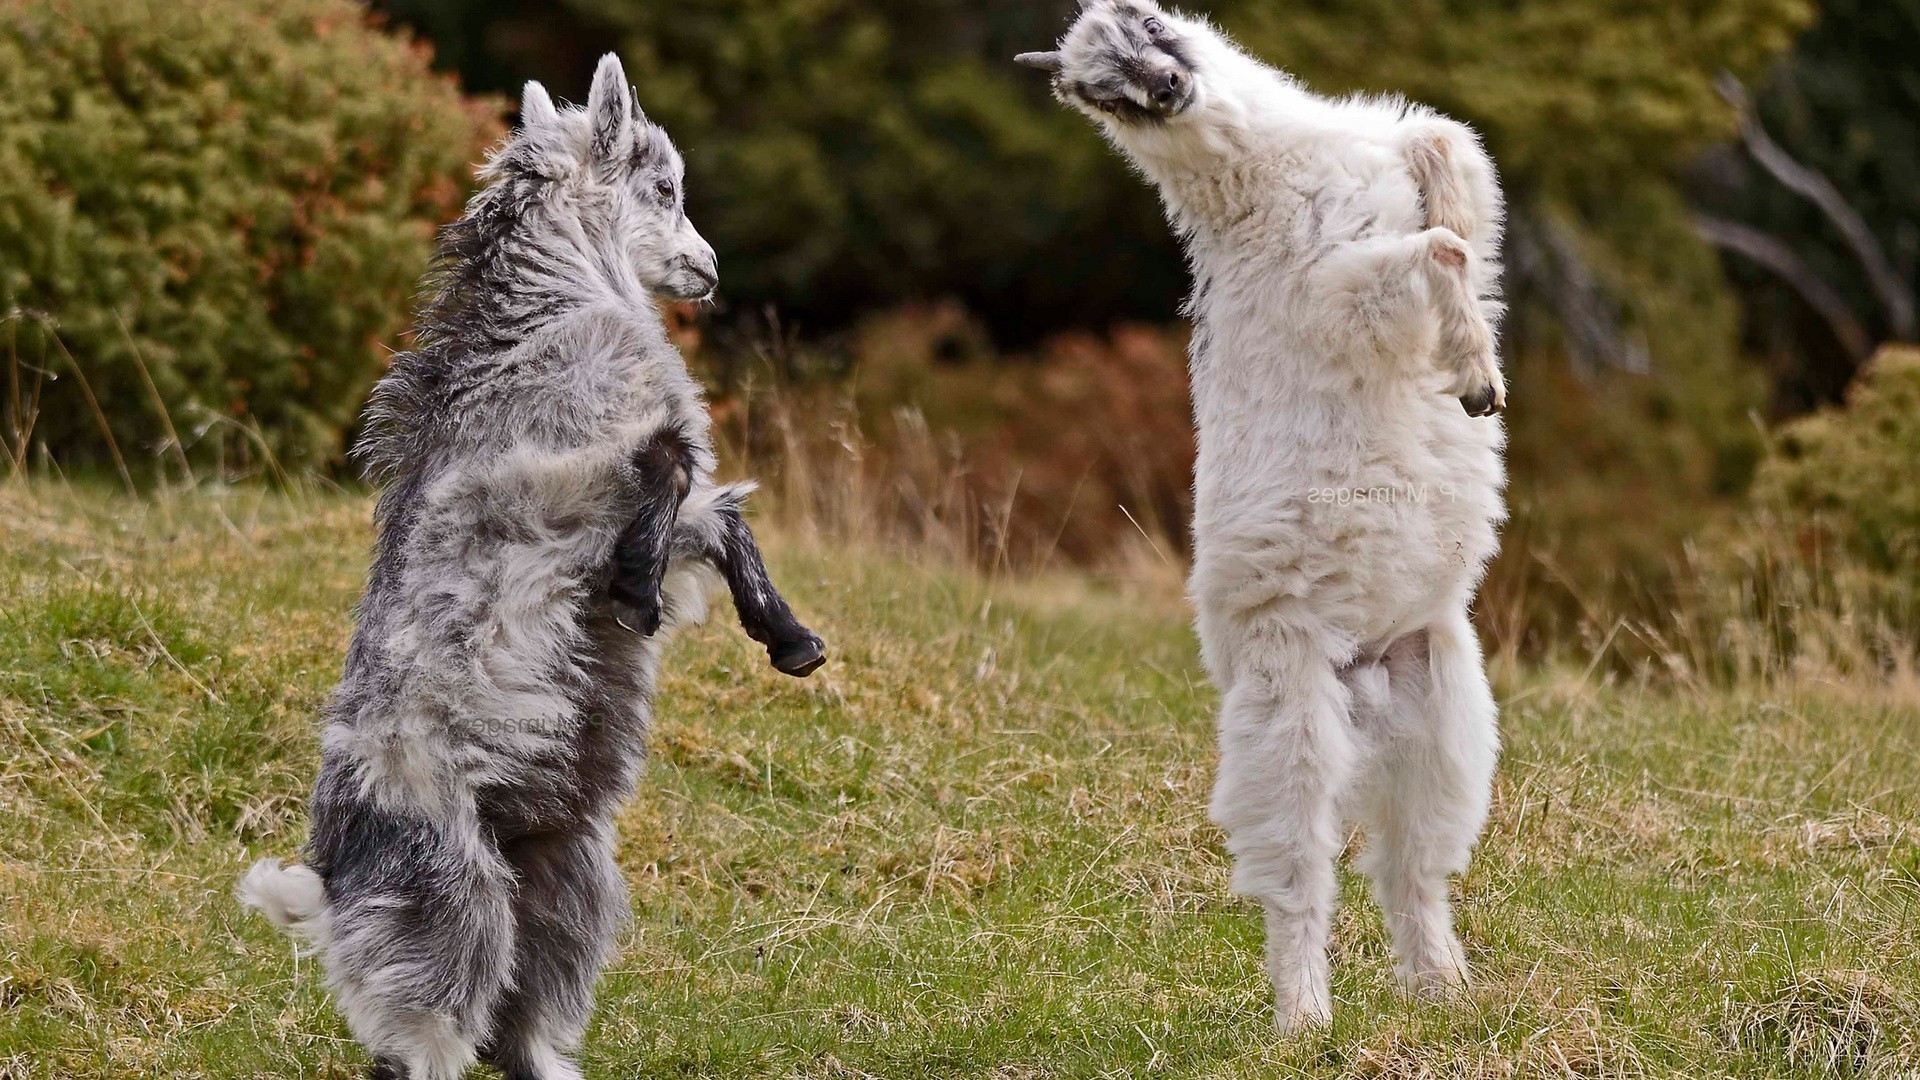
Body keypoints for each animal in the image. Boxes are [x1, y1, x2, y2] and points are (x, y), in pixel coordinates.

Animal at [236, 56, 821, 1076]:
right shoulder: (566, 484)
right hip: (452, 904)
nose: (708, 271)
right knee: (430, 1032)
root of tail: (333, 883)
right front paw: (638, 591)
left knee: (525, 1021)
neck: (553, 304)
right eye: (662, 188)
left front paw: (789, 640)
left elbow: (717, 519)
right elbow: (670, 471)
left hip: (565, 878)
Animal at [1021, 0, 1512, 1022]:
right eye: (1098, 93)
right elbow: (1436, 251)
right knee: (1298, 879)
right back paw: (1303, 1017)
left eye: (1147, 20)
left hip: (1446, 716)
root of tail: (1362, 681)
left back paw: (1444, 992)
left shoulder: (1398, 161)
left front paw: (1478, 358)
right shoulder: (1336, 293)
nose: (1169, 89)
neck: (1270, 166)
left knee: (1410, 870)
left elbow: (1448, 163)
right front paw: (1471, 377)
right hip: (1285, 722)